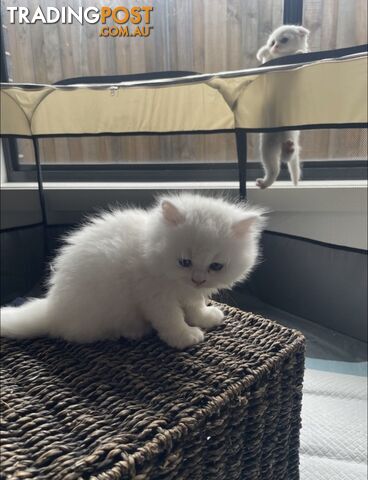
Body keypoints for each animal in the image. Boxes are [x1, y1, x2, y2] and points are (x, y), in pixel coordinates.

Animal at [0, 194, 264, 348]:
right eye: (184, 262)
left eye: (215, 266)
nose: (198, 280)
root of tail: (53, 309)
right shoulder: (155, 296)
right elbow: (172, 319)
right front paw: (185, 337)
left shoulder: (188, 294)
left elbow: (195, 307)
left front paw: (206, 318)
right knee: (78, 334)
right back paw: (132, 331)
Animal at [256, 25, 310, 188]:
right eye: (272, 42)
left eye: (284, 40)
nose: (275, 47)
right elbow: (266, 59)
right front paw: (264, 52)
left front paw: (300, 52)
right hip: (266, 145)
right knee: (275, 166)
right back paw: (265, 182)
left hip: (289, 134)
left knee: (286, 159)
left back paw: (288, 149)